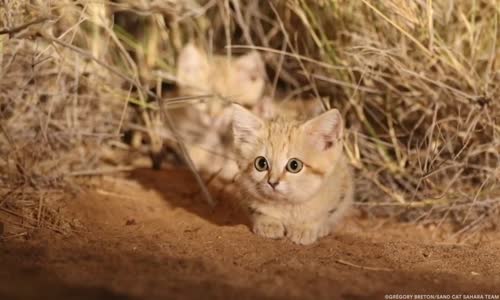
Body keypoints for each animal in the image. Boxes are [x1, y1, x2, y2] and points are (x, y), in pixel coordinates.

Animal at [230, 104, 352, 245]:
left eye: (294, 165)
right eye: (261, 163)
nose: (272, 182)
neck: (287, 206)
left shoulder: (340, 190)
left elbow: (324, 214)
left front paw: (305, 227)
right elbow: (258, 211)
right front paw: (268, 223)